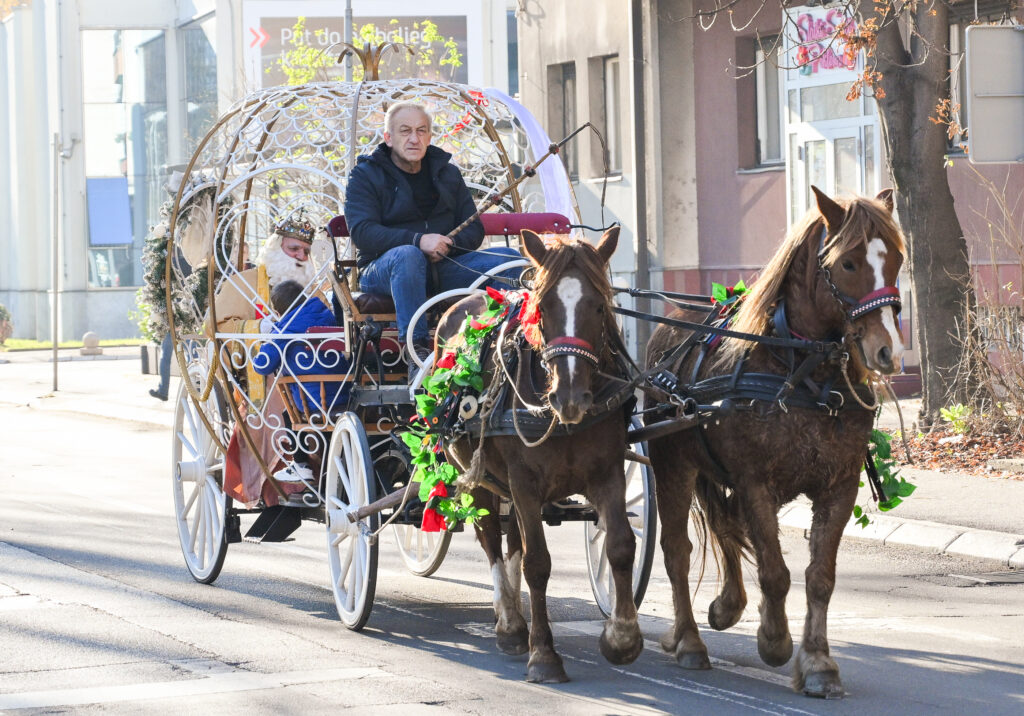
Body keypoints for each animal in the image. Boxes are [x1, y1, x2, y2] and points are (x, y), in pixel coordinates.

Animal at [435, 226, 644, 683]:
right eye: (543, 308)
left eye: (599, 305)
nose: (570, 398)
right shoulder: (524, 482)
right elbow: (538, 563)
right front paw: (543, 654)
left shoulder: (608, 473)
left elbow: (620, 545)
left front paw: (621, 637)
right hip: (478, 476)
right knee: (491, 538)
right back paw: (511, 624)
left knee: (511, 539)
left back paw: (513, 612)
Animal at [645, 186, 905, 698]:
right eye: (848, 263)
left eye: (898, 259)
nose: (888, 351)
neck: (802, 372)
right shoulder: (754, 484)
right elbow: (775, 571)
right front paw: (775, 640)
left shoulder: (838, 486)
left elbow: (819, 577)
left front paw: (819, 663)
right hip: (673, 467)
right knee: (677, 551)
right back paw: (688, 641)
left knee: (723, 526)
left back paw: (727, 606)